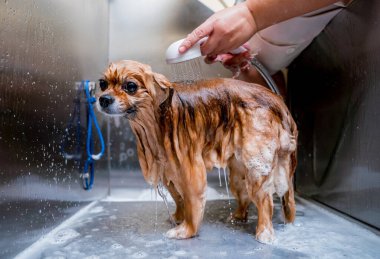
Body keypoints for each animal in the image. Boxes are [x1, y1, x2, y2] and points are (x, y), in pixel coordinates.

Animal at [96, 60, 298, 245]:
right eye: (103, 84)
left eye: (130, 86)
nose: (103, 99)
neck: (158, 120)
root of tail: (276, 100)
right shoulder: (168, 169)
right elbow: (178, 198)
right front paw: (178, 217)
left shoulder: (190, 169)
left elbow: (192, 203)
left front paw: (186, 230)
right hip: (238, 175)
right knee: (245, 197)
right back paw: (238, 216)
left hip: (256, 167)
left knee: (265, 202)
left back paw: (264, 233)